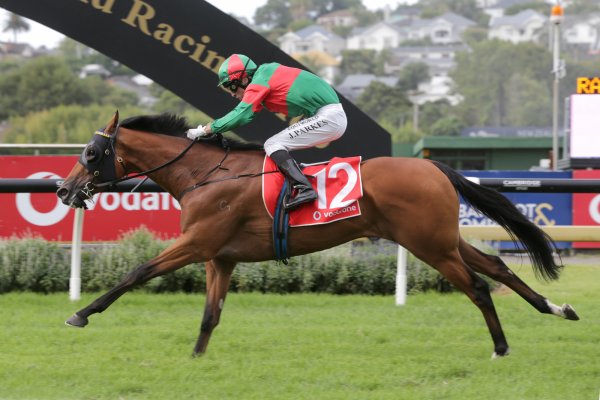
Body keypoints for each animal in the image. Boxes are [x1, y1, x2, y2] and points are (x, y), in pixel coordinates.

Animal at [58, 111, 580, 358]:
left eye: (90, 153)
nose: (64, 190)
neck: (205, 174)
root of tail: (434, 166)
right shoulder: (220, 256)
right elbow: (210, 315)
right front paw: (196, 358)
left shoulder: (197, 244)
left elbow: (136, 272)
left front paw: (81, 314)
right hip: (443, 239)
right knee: (496, 267)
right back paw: (558, 309)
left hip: (428, 244)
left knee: (477, 286)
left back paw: (501, 346)